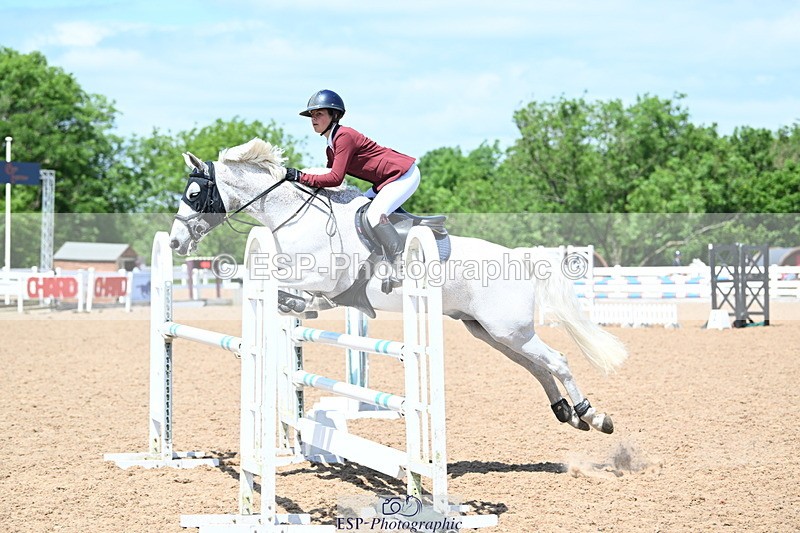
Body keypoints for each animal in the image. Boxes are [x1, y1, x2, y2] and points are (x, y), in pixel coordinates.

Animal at [169, 137, 627, 433]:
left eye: (194, 194)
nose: (174, 242)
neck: (296, 216)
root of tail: (521, 258)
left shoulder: (326, 279)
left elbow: (294, 290)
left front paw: (292, 303)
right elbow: (290, 295)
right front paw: (290, 306)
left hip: (509, 329)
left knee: (558, 361)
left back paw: (593, 415)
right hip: (489, 331)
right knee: (538, 366)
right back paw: (567, 413)